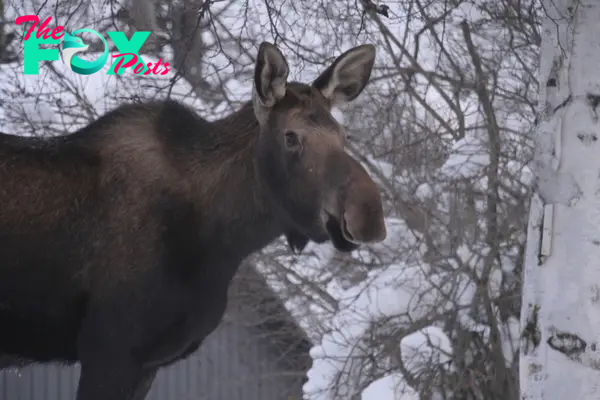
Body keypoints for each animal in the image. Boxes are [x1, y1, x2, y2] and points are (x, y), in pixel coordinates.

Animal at [0, 42, 386, 398]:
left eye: (343, 136)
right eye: (291, 136)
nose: (368, 214)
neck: (225, 242)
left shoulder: (147, 362)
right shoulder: (109, 349)